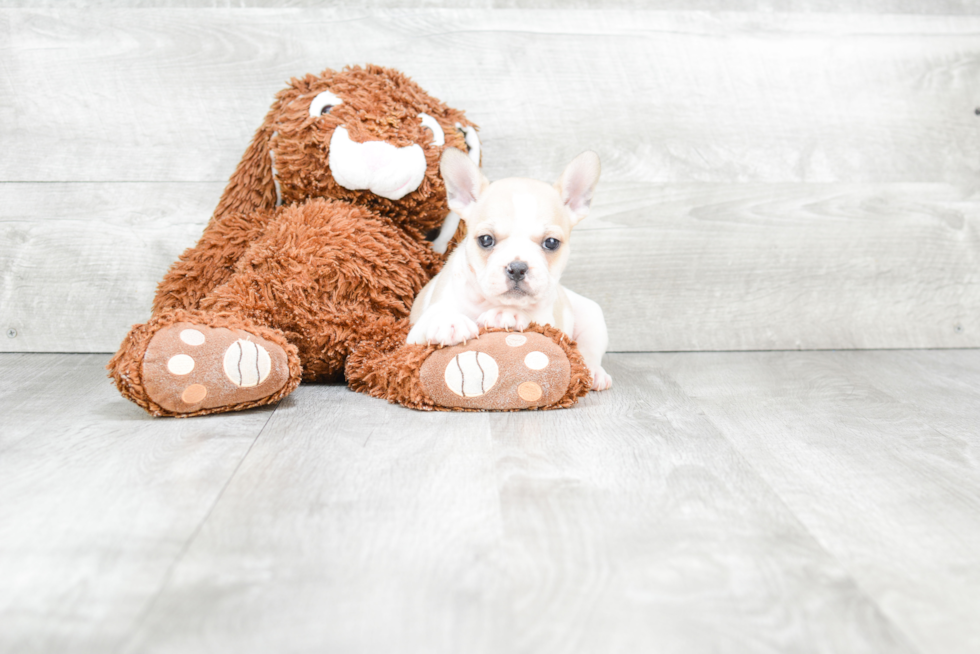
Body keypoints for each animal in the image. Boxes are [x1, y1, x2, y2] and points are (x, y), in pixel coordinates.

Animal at [408, 149, 612, 392]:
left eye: (551, 243)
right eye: (486, 240)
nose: (517, 267)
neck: (488, 301)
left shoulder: (548, 320)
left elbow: (528, 314)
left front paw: (506, 313)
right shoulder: (413, 335)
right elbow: (435, 316)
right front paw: (450, 321)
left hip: (592, 318)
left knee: (589, 352)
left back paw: (595, 373)